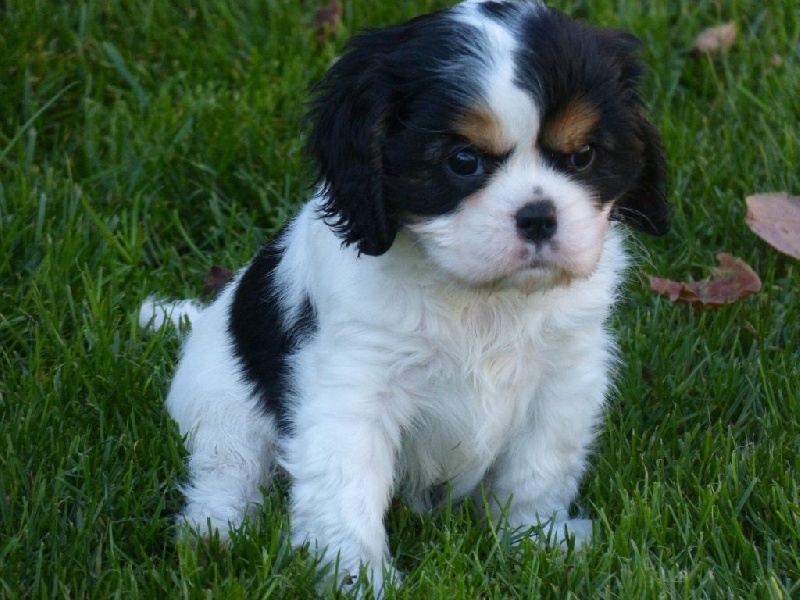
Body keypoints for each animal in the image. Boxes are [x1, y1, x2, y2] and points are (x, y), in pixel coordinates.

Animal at [144, 0, 668, 592]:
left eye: (582, 157)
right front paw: (356, 578)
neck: (481, 296)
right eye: (463, 161)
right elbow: (344, 484)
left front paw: (536, 541)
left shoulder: (564, 379)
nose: (538, 216)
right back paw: (216, 535)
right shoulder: (354, 386)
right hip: (221, 402)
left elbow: (539, 466)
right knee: (227, 470)